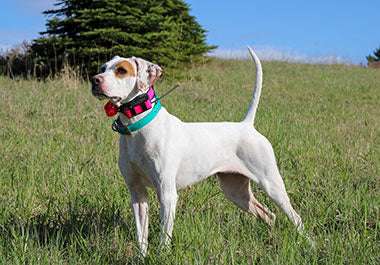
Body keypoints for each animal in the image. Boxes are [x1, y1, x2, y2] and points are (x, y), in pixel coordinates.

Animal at [92, 46, 306, 255]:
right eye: (102, 68)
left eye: (121, 70)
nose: (95, 80)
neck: (138, 128)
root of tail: (247, 125)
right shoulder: (137, 193)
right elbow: (141, 238)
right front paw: (141, 257)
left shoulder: (167, 194)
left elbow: (164, 238)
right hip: (235, 191)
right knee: (269, 215)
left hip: (271, 184)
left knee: (296, 218)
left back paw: (306, 244)